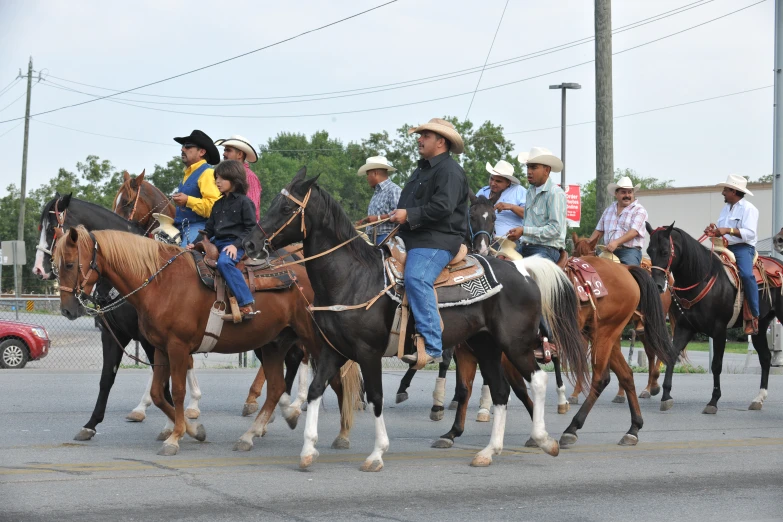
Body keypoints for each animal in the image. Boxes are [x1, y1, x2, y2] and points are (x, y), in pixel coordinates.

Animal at [33, 192, 304, 438]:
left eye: (52, 227)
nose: (39, 270)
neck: (146, 274)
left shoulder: (153, 339)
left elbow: (166, 384)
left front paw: (176, 422)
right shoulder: (114, 335)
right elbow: (108, 379)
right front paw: (91, 423)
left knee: (294, 358)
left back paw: (284, 406)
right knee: (290, 360)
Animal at [54, 225, 362, 452]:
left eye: (69, 263)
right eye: (56, 264)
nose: (68, 309)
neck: (159, 282)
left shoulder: (176, 348)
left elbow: (176, 391)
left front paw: (175, 436)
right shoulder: (159, 348)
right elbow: (157, 393)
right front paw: (193, 430)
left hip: (313, 340)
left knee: (333, 381)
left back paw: (342, 433)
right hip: (274, 343)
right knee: (276, 387)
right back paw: (253, 433)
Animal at [245, 169, 588, 470]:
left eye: (286, 207)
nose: (250, 243)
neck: (353, 278)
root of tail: (524, 269)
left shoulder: (368, 353)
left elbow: (376, 397)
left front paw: (376, 454)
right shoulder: (332, 349)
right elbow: (316, 390)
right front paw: (307, 449)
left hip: (514, 343)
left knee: (538, 380)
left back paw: (545, 438)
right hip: (485, 345)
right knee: (501, 391)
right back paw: (489, 452)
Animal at [648, 221, 780, 412]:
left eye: (665, 252)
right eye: (649, 250)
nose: (657, 285)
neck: (701, 279)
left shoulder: (719, 331)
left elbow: (716, 365)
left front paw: (713, 401)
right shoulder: (684, 328)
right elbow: (671, 356)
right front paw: (666, 396)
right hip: (760, 326)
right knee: (765, 357)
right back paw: (759, 398)